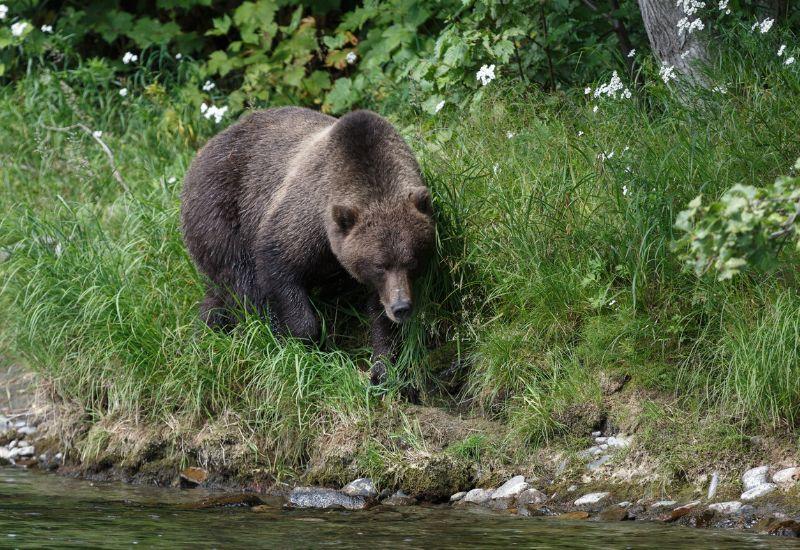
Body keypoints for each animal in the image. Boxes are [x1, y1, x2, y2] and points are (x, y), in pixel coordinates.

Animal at [180, 106, 434, 384]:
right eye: (379, 265)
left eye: (412, 261)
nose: (401, 307)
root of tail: (200, 153)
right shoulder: (303, 218)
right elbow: (279, 269)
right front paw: (305, 343)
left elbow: (380, 316)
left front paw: (383, 367)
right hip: (220, 216)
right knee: (243, 283)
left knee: (218, 295)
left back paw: (206, 332)